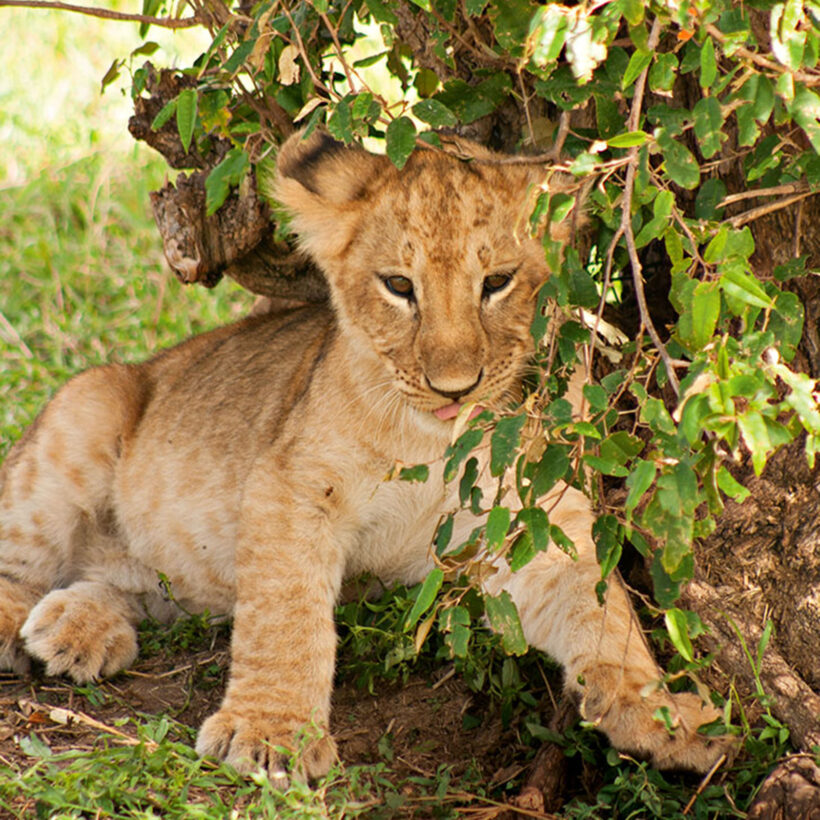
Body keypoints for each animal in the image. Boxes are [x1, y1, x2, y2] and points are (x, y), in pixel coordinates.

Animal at [0, 129, 727, 783]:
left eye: (497, 281)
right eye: (399, 286)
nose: (454, 386)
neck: (433, 441)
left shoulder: (527, 516)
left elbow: (603, 615)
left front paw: (667, 719)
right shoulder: (289, 483)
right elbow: (286, 614)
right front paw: (269, 735)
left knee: (115, 580)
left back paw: (74, 628)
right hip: (86, 412)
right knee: (20, 557)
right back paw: (25, 630)